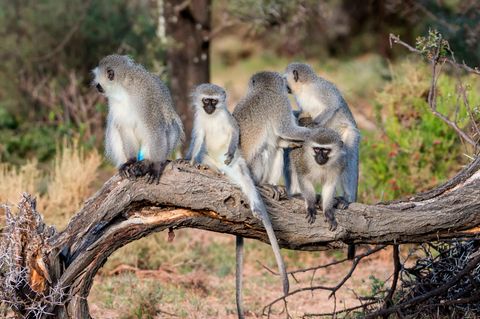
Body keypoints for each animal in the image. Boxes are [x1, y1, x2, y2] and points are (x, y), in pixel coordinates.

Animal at [188, 84, 288, 318]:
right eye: (205, 101)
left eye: (213, 101)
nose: (208, 107)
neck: (212, 117)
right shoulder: (199, 122)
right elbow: (198, 140)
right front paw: (188, 160)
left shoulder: (228, 120)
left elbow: (234, 132)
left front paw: (231, 147)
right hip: (213, 160)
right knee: (208, 160)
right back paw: (208, 168)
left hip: (238, 165)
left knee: (248, 182)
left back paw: (258, 209)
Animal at [284, 62, 360, 260]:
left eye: (284, 78)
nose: (285, 86)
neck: (306, 88)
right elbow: (302, 114)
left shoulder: (322, 89)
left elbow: (332, 105)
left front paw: (314, 126)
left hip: (348, 135)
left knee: (348, 158)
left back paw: (347, 199)